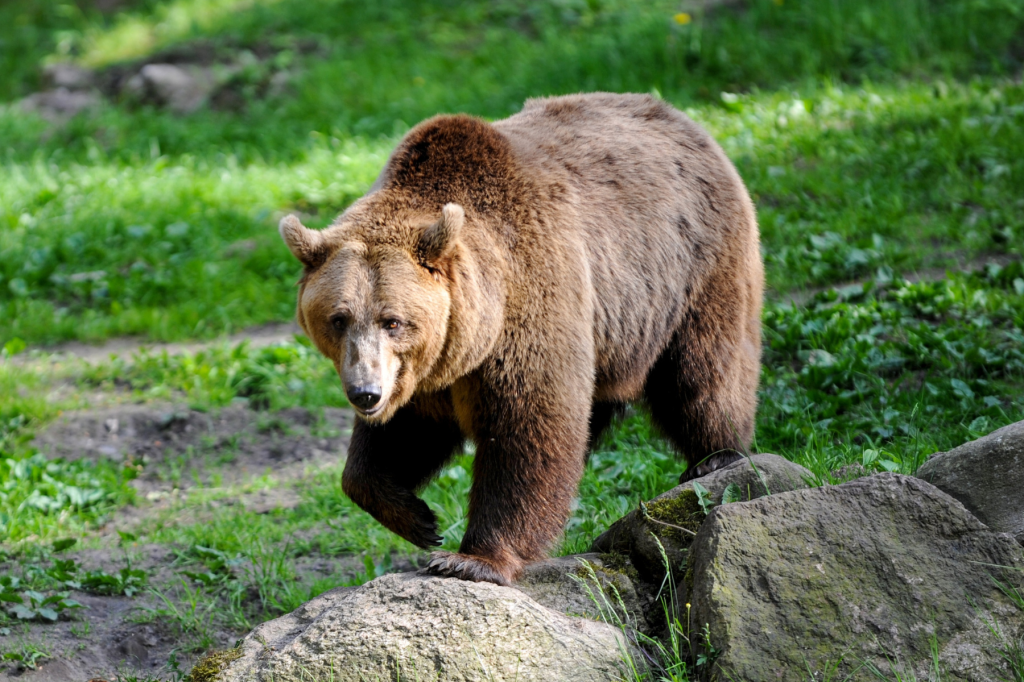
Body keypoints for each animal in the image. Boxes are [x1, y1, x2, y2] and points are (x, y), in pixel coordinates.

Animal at [279, 92, 763, 586]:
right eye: (338, 319)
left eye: (392, 321)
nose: (365, 393)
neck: (474, 332)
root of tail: (682, 118)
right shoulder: (423, 372)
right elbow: (397, 439)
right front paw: (417, 518)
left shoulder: (530, 302)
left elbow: (528, 427)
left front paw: (471, 558)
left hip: (691, 269)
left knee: (702, 372)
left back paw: (717, 456)